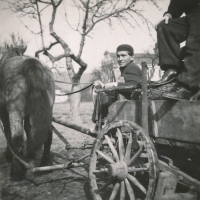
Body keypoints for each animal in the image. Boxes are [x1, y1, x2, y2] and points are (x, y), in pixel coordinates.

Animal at [0, 45, 55, 180]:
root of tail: (28, 61)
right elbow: (29, 129)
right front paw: (31, 153)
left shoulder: (4, 114)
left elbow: (8, 132)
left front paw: (9, 155)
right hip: (48, 110)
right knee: (48, 134)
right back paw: (45, 164)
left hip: (15, 110)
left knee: (17, 137)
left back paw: (17, 170)